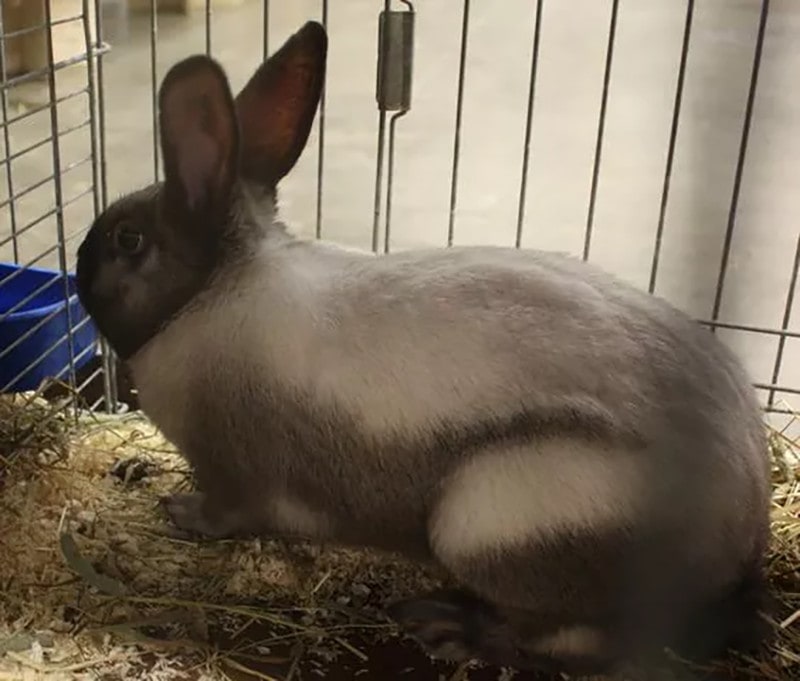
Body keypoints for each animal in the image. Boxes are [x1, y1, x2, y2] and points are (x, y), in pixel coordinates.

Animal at [75, 20, 772, 676]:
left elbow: (227, 511)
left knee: (572, 639)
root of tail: (740, 544)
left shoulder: (230, 467)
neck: (210, 293)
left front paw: (180, 509)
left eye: (128, 240)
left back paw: (447, 625)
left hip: (491, 516)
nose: (79, 266)